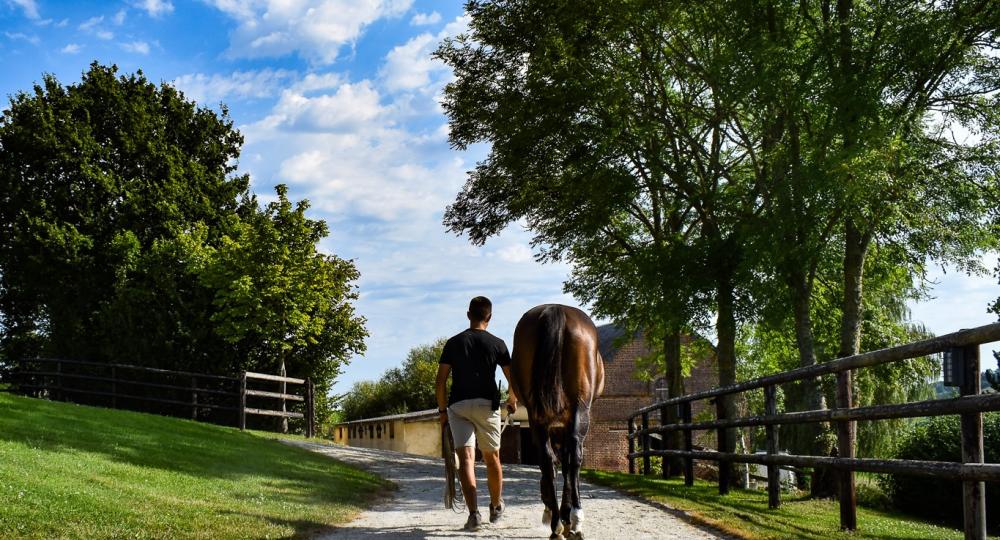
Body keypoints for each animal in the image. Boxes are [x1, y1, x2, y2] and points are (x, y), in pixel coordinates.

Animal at [512, 306, 604, 536]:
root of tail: (554, 309)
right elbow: (567, 463)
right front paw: (567, 513)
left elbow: (556, 463)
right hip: (579, 410)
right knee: (574, 457)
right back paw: (573, 519)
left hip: (538, 417)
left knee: (547, 459)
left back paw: (557, 523)